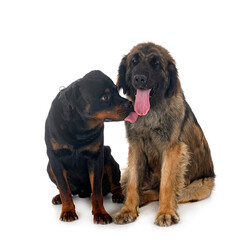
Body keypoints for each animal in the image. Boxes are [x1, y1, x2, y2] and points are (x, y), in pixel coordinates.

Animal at [45, 70, 133, 224]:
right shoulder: (55, 158)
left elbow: (96, 191)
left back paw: (118, 195)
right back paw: (58, 198)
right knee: (67, 189)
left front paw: (100, 213)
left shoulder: (96, 158)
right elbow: (64, 189)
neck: (80, 126)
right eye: (105, 97)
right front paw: (68, 210)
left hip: (109, 157)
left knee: (114, 183)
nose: (130, 104)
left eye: (117, 91)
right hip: (49, 167)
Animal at [114, 42, 215, 227]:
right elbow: (133, 183)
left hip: (199, 186)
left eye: (156, 64)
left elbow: (166, 185)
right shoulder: (135, 148)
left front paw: (165, 212)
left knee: (163, 190)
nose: (139, 79)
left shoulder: (172, 150)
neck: (150, 114)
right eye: (134, 61)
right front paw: (128, 210)